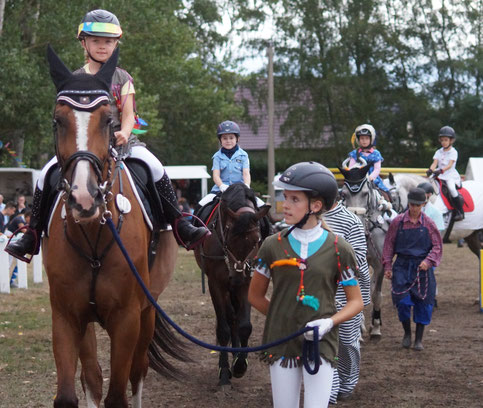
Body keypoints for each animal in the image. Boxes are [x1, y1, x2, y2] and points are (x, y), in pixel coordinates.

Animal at [41, 45, 181, 408]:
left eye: (107, 120)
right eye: (57, 121)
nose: (84, 198)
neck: (93, 236)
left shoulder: (127, 318)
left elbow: (119, 393)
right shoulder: (67, 316)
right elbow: (72, 392)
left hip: (148, 310)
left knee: (138, 370)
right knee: (92, 376)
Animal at [196, 186, 272, 388]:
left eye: (256, 240)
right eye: (228, 239)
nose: (236, 278)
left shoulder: (247, 283)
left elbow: (244, 325)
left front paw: (239, 365)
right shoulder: (216, 284)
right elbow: (223, 329)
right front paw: (224, 372)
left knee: (235, 318)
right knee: (229, 318)